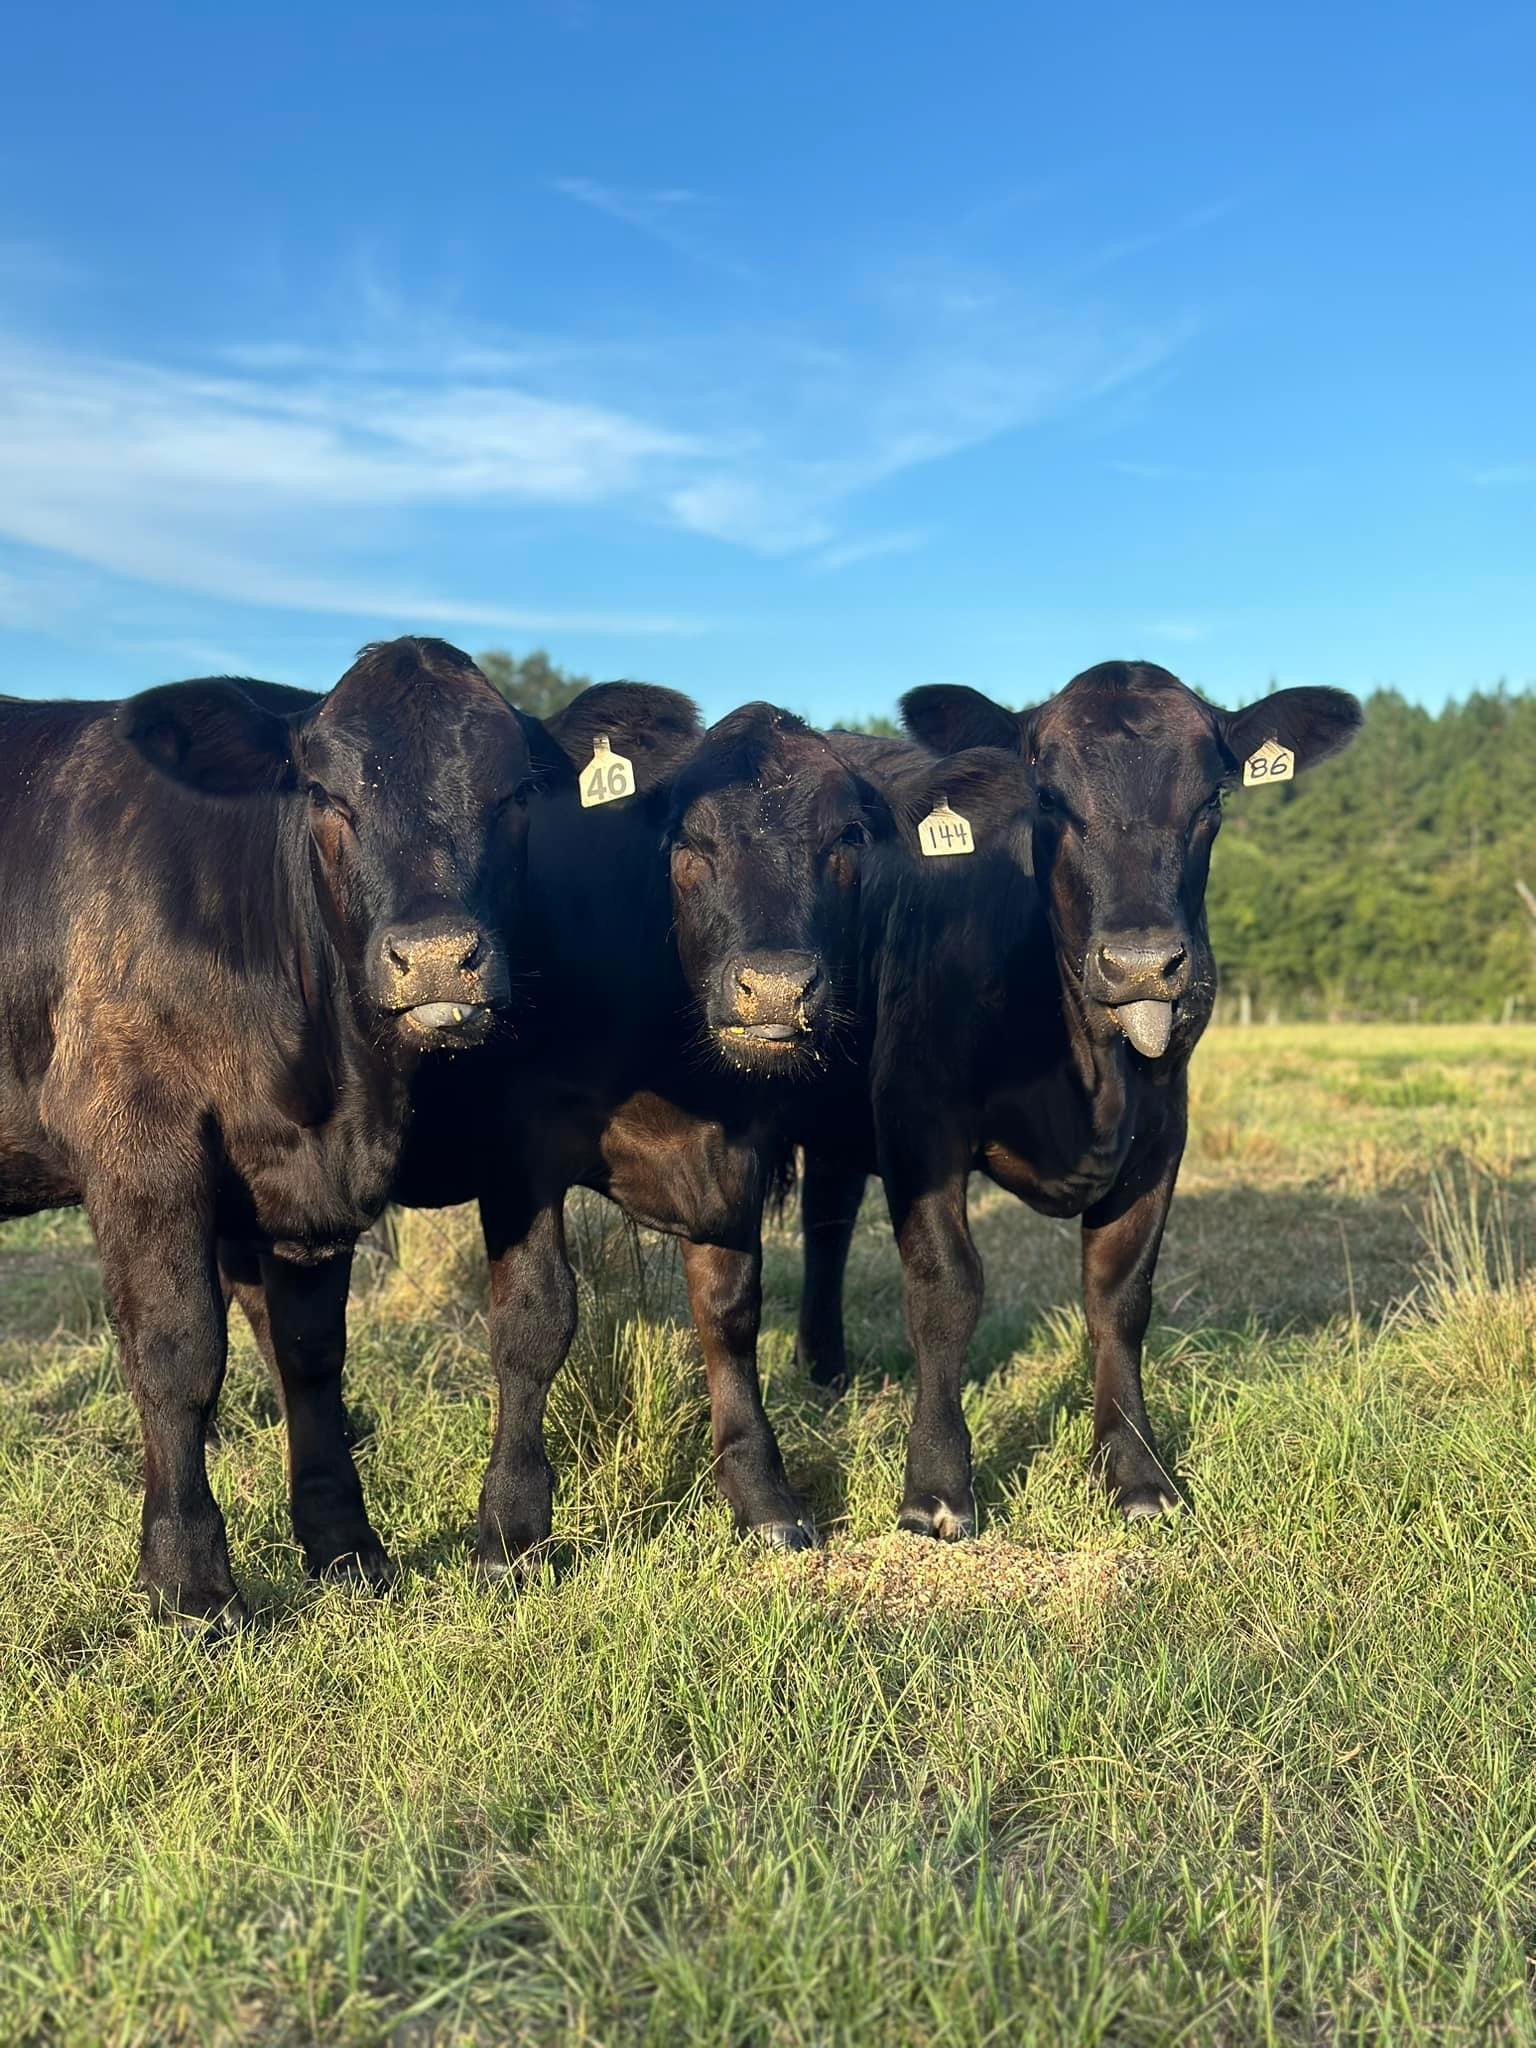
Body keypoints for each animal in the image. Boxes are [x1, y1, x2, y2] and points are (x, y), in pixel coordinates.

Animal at [0, 638, 539, 1630]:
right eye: (326, 795)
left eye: (517, 791)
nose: (437, 958)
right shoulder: (139, 1132)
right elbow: (177, 1353)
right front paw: (190, 1587)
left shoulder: (291, 1193)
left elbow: (309, 1359)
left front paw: (347, 1550)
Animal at [794, 662, 1362, 1536]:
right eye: (1047, 797)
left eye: (1213, 797)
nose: (1141, 964)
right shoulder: (918, 1115)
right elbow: (947, 1286)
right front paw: (936, 1488)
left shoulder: (1161, 1135)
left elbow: (1119, 1297)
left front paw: (1136, 1471)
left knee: (826, 1217)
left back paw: (827, 1371)